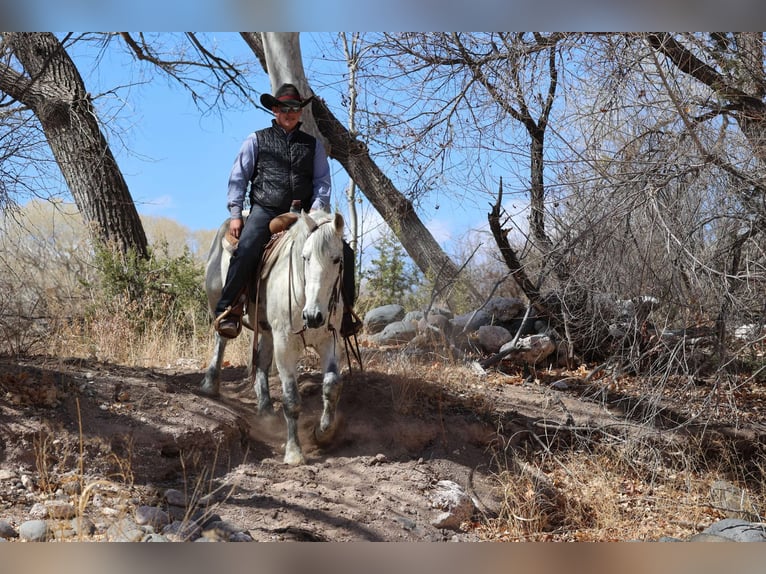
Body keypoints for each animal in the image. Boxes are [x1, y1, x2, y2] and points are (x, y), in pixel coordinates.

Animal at [200, 212, 346, 468]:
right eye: (305, 257)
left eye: (337, 259)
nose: (313, 316)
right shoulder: (285, 345)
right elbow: (291, 399)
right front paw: (294, 452)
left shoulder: (329, 341)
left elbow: (331, 386)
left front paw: (322, 433)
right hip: (219, 304)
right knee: (221, 339)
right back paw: (210, 384)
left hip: (267, 331)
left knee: (261, 361)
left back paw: (266, 409)